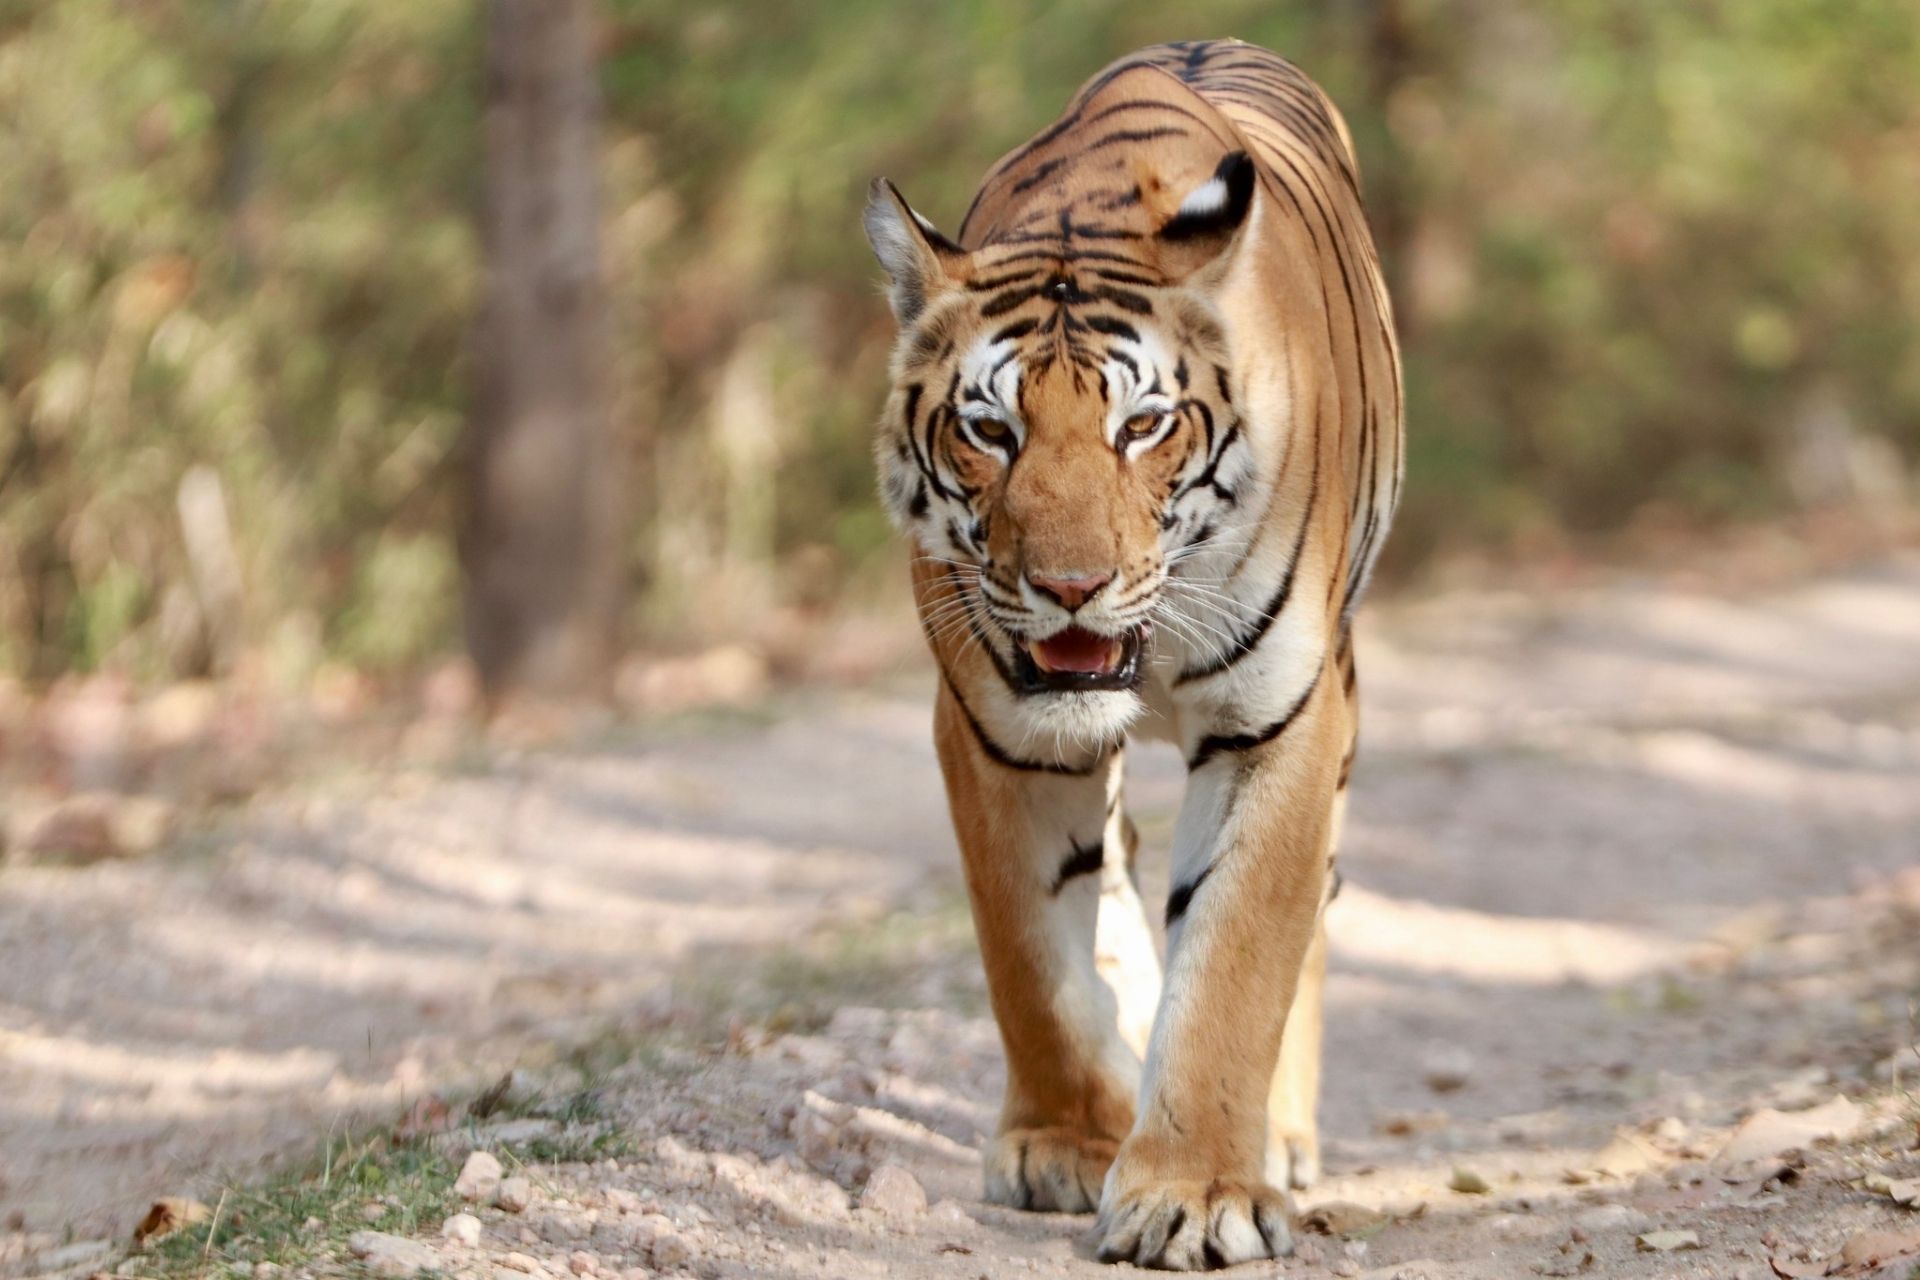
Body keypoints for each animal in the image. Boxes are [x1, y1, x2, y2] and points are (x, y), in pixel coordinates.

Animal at [864, 40, 1405, 1274]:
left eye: (1142, 426)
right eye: (992, 429)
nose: (1071, 587)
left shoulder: (1282, 719)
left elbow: (1239, 954)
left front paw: (1196, 1192)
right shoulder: (995, 726)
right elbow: (1033, 953)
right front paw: (1067, 1141)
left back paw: (1281, 1139)